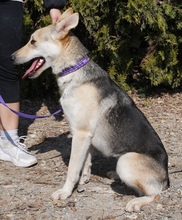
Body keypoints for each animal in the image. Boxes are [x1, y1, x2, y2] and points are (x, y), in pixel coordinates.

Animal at [11, 8, 169, 211]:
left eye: (33, 41)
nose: (11, 57)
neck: (73, 70)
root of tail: (166, 177)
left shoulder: (80, 134)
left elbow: (72, 168)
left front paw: (65, 192)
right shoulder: (85, 137)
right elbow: (85, 162)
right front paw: (84, 179)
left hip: (127, 161)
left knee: (155, 194)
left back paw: (136, 201)